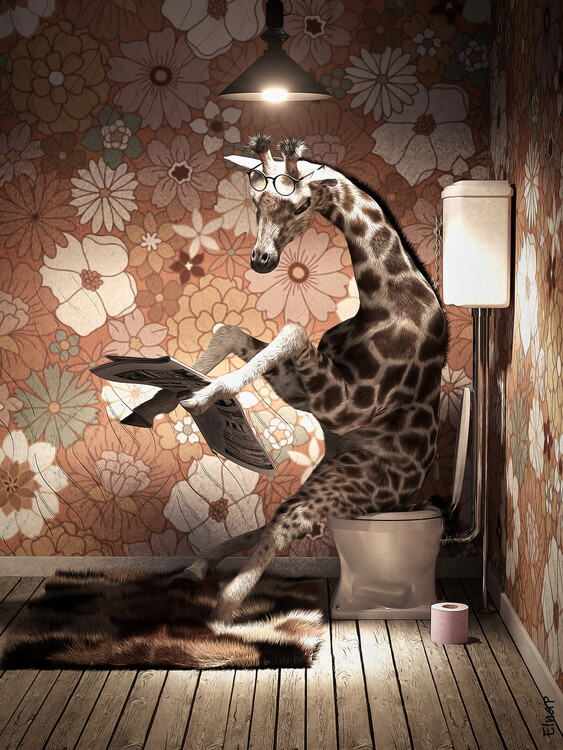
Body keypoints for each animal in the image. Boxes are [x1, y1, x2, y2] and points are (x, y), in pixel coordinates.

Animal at [148, 135, 447, 622]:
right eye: (255, 201)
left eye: (304, 203)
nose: (262, 260)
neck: (390, 298)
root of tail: (407, 497)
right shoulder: (310, 394)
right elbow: (231, 331)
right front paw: (163, 394)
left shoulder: (350, 406)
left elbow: (290, 329)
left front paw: (206, 395)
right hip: (327, 476)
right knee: (272, 523)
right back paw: (195, 569)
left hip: (347, 484)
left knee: (283, 527)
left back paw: (221, 613)